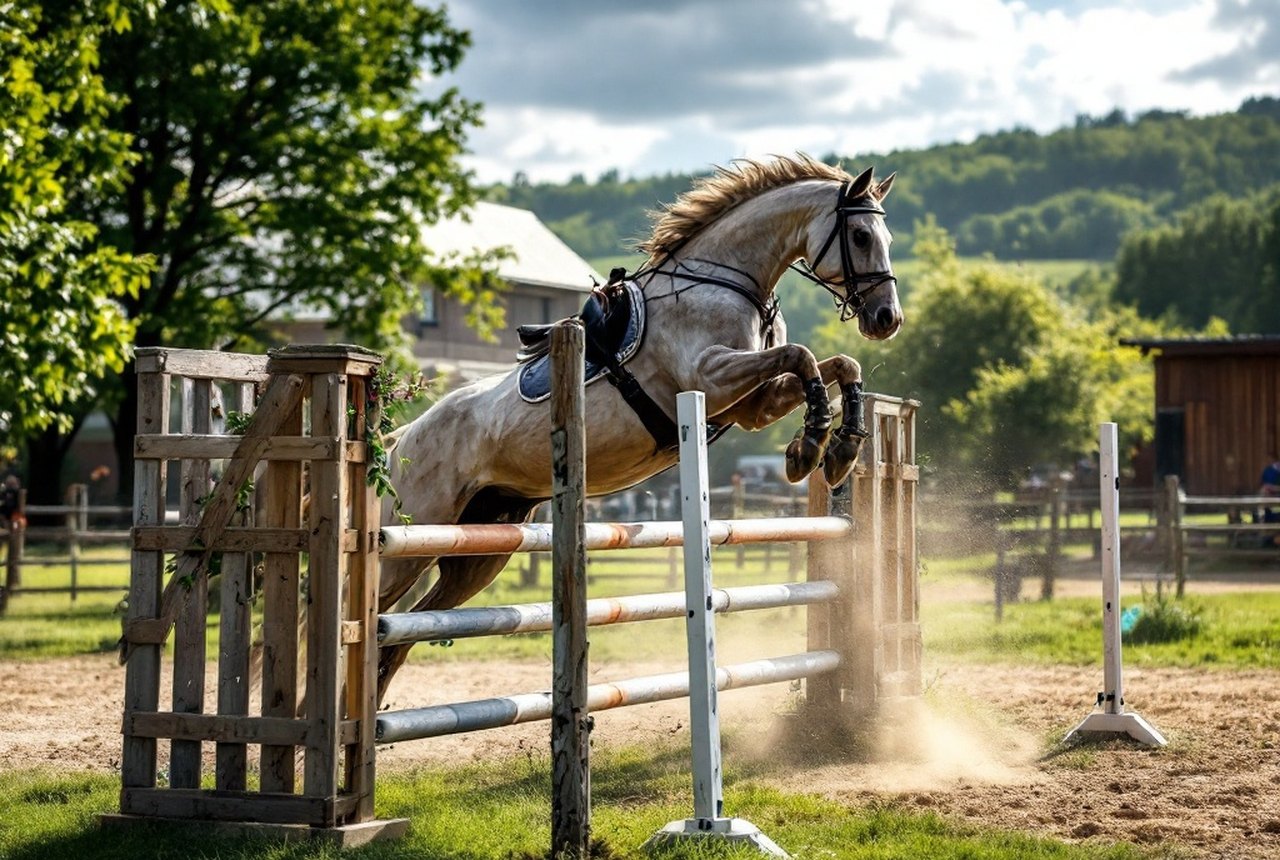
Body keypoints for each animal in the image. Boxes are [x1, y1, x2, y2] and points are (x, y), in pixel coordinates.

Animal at [376, 154, 900, 701]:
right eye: (861, 236)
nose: (888, 318)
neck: (726, 281)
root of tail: (399, 442)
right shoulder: (713, 379)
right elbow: (802, 357)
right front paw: (813, 445)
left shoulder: (750, 404)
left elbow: (838, 365)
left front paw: (836, 449)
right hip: (411, 540)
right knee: (380, 616)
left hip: (480, 547)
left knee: (403, 635)